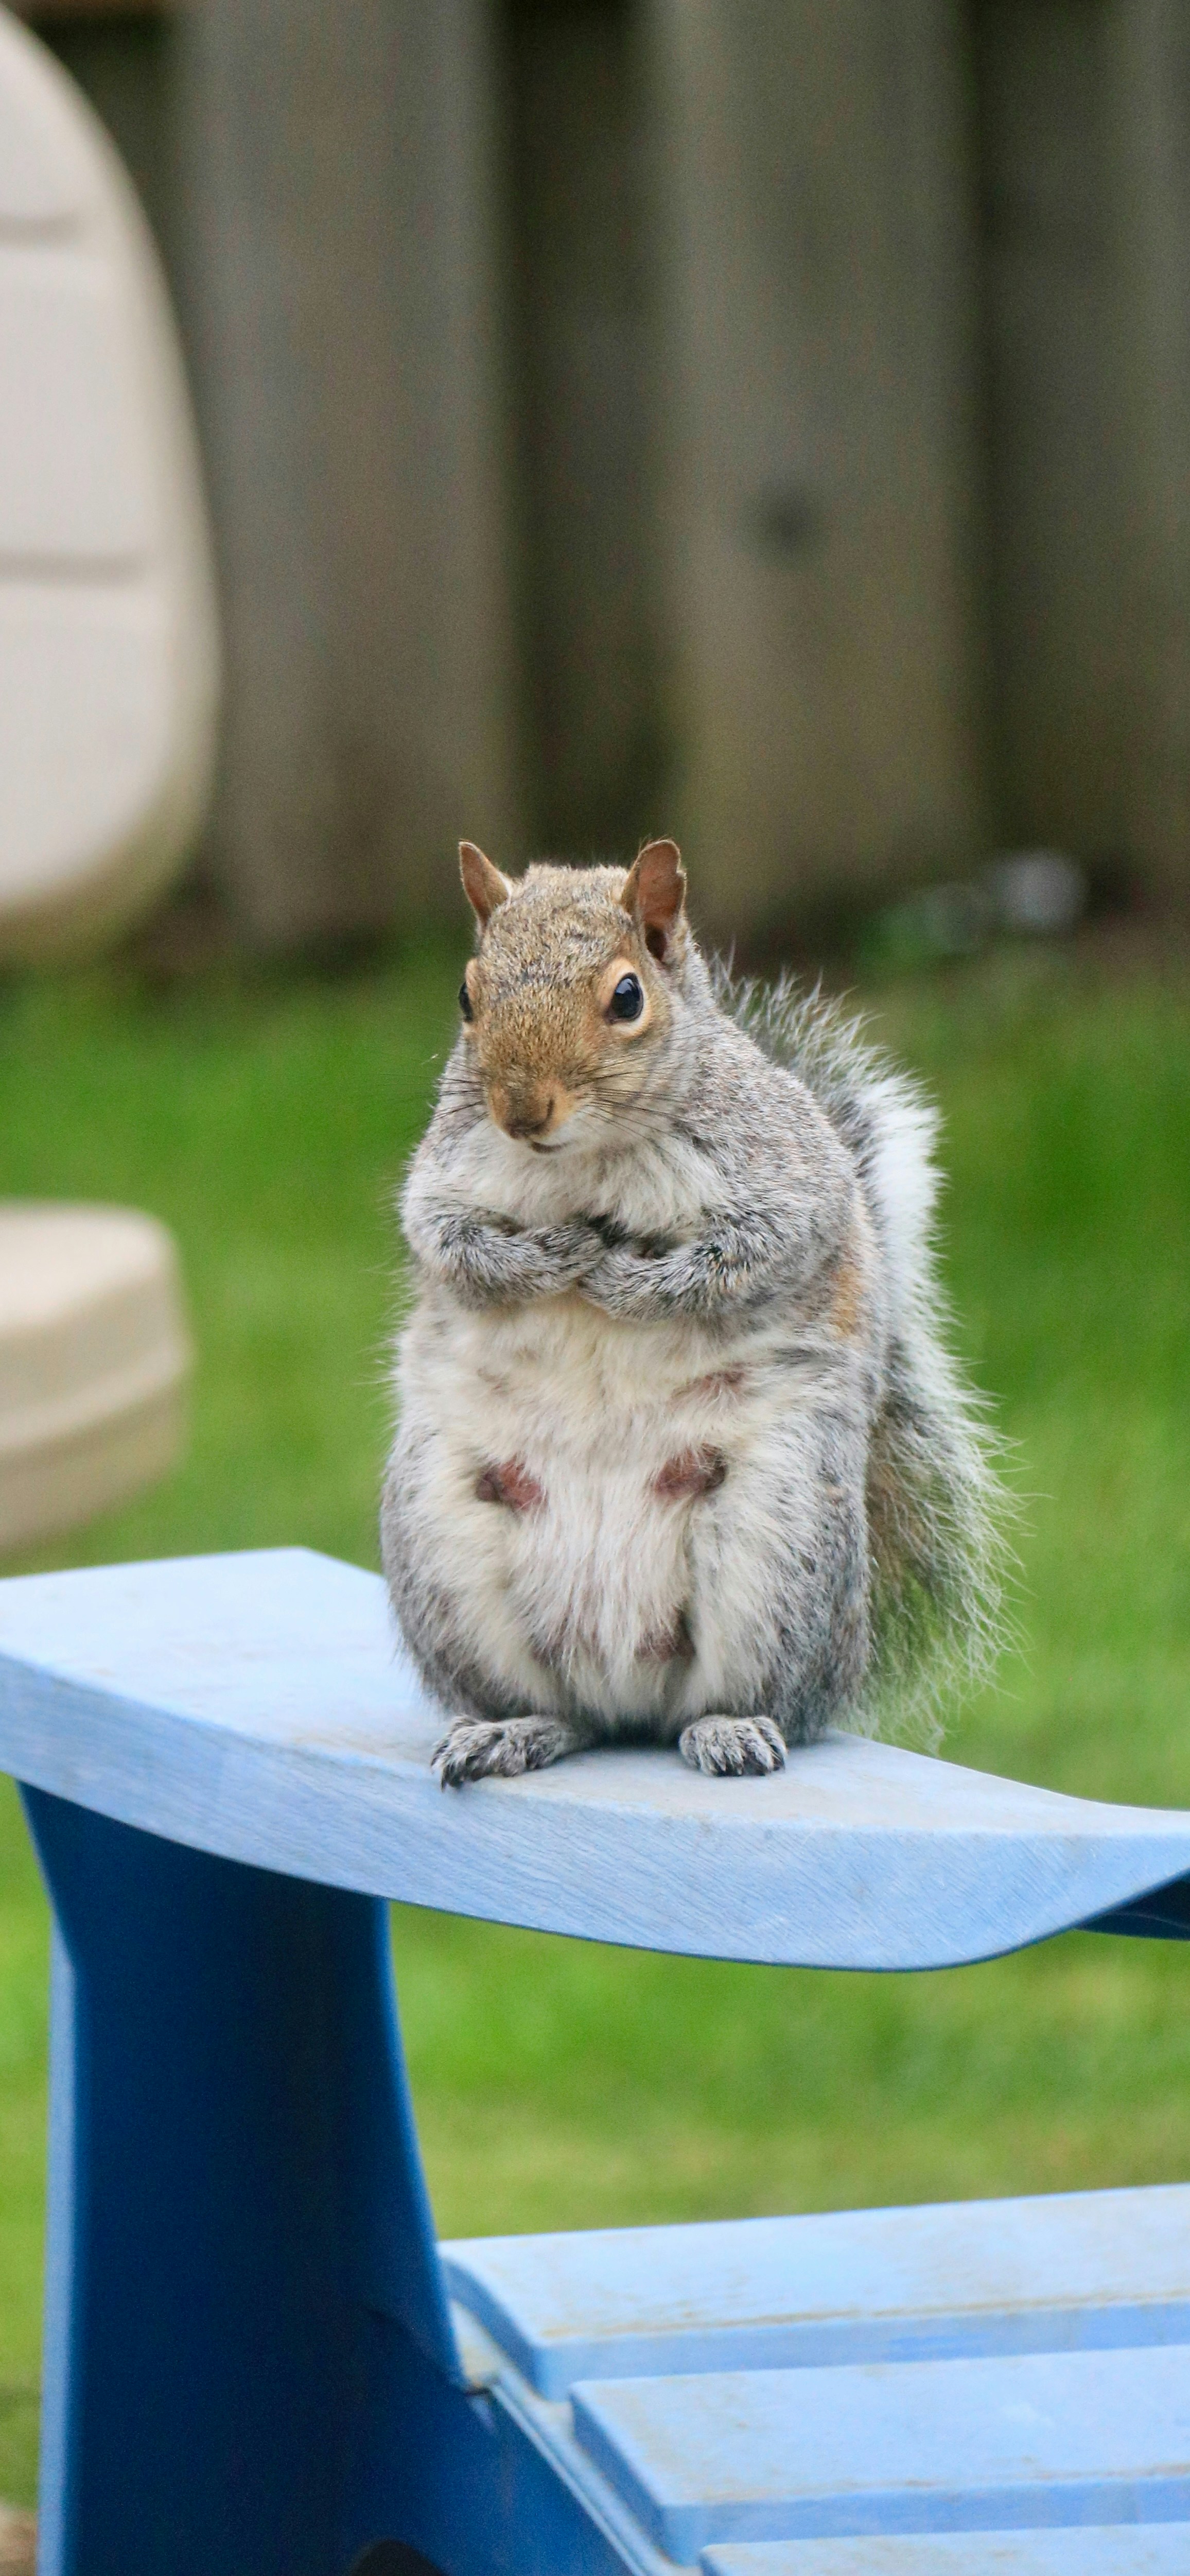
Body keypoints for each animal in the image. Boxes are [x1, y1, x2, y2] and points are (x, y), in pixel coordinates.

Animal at [382, 837, 1005, 1787]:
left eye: (626, 996)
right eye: (466, 994)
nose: (522, 1112)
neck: (586, 1161)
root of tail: (622, 1687)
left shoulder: (792, 1177)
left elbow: (741, 1256)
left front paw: (619, 1279)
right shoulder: (444, 1174)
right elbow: (451, 1243)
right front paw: (545, 1260)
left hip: (780, 1536)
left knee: (757, 1697)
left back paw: (729, 1727)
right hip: (439, 1546)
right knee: (570, 1714)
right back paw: (516, 1728)